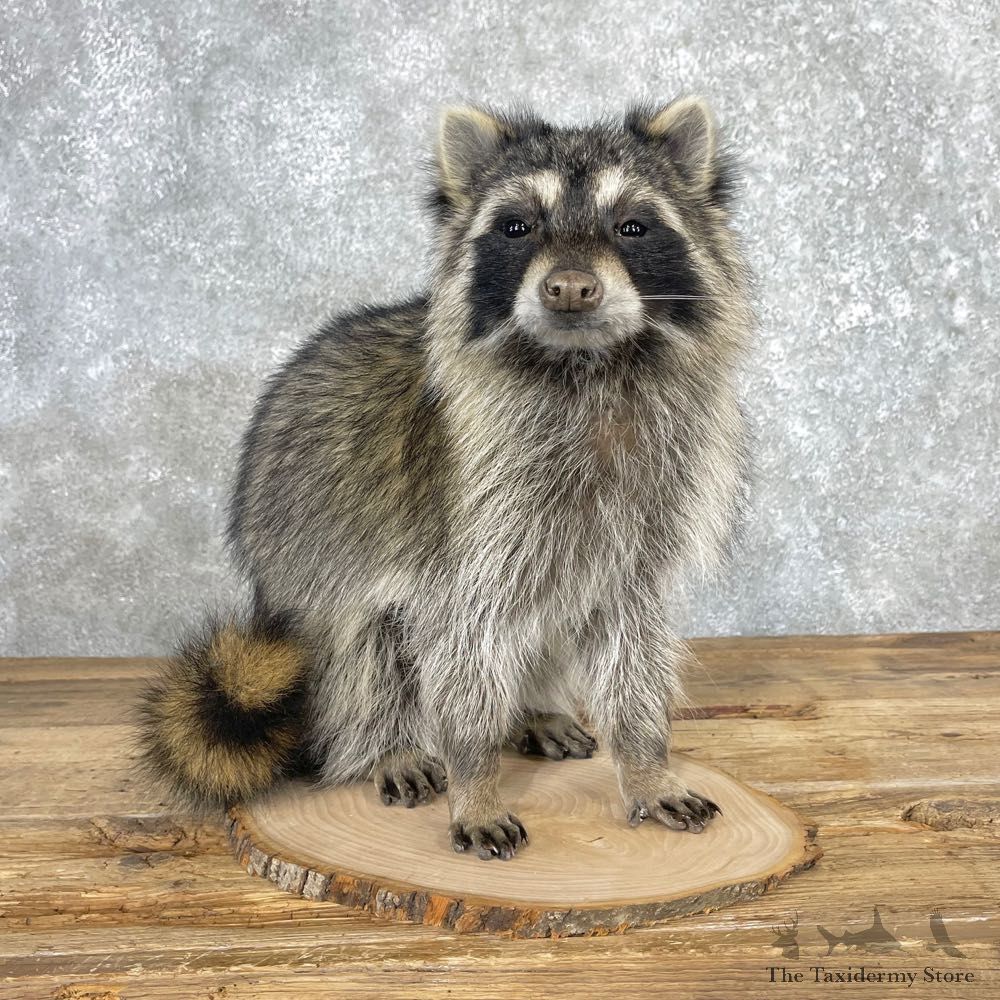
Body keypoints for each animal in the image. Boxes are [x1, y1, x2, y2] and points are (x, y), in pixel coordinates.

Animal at [138, 97, 754, 861]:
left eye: (632, 226)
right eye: (518, 227)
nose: (570, 288)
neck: (585, 366)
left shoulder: (647, 520)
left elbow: (631, 647)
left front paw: (646, 761)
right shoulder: (462, 517)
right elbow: (458, 643)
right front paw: (475, 776)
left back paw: (533, 707)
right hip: (300, 560)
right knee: (358, 645)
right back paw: (387, 743)